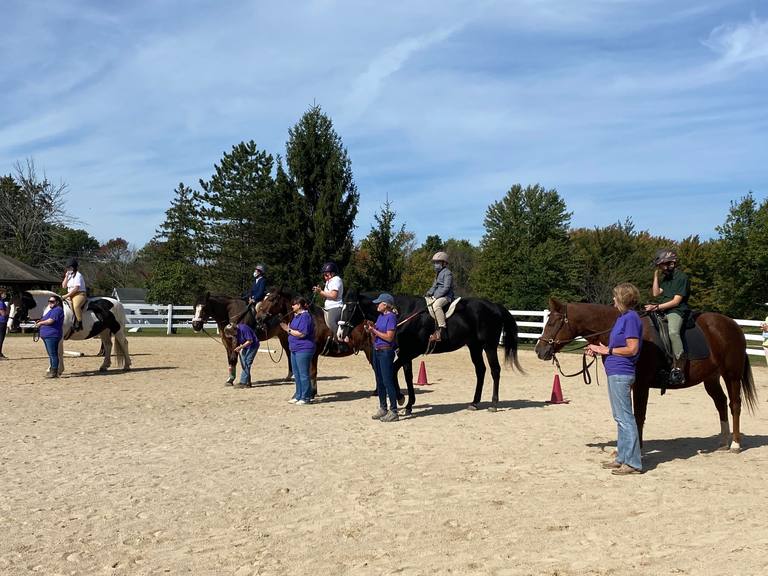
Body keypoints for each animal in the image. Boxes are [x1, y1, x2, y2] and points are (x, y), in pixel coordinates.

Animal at [338, 292, 520, 414]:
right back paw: (474, 403)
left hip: (489, 346)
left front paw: (401, 398)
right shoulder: (405, 353)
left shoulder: (409, 352)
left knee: (495, 370)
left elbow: (394, 370)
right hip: (474, 346)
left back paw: (494, 404)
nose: (340, 334)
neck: (403, 314)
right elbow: (407, 376)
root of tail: (494, 306)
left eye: (350, 308)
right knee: (480, 371)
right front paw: (409, 404)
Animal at [536, 300, 760, 452]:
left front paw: (639, 450)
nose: (540, 350)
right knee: (721, 403)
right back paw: (723, 442)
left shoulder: (641, 384)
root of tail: (734, 326)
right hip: (711, 378)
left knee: (734, 404)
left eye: (554, 323)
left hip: (731, 375)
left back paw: (735, 444)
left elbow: (638, 416)